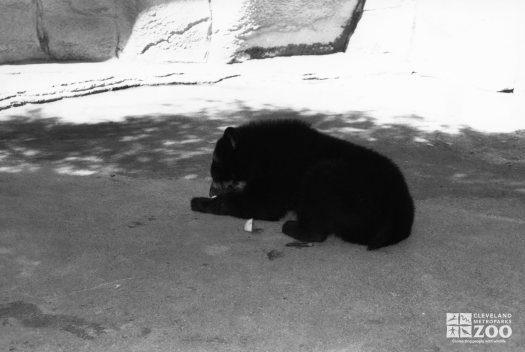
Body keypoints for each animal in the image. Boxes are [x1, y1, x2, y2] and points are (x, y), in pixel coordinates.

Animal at [190, 119, 416, 249]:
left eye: (216, 162)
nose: (210, 190)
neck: (261, 153)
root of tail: (400, 215)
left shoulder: (272, 189)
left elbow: (241, 203)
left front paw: (200, 202)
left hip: (323, 174)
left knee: (317, 230)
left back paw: (292, 227)